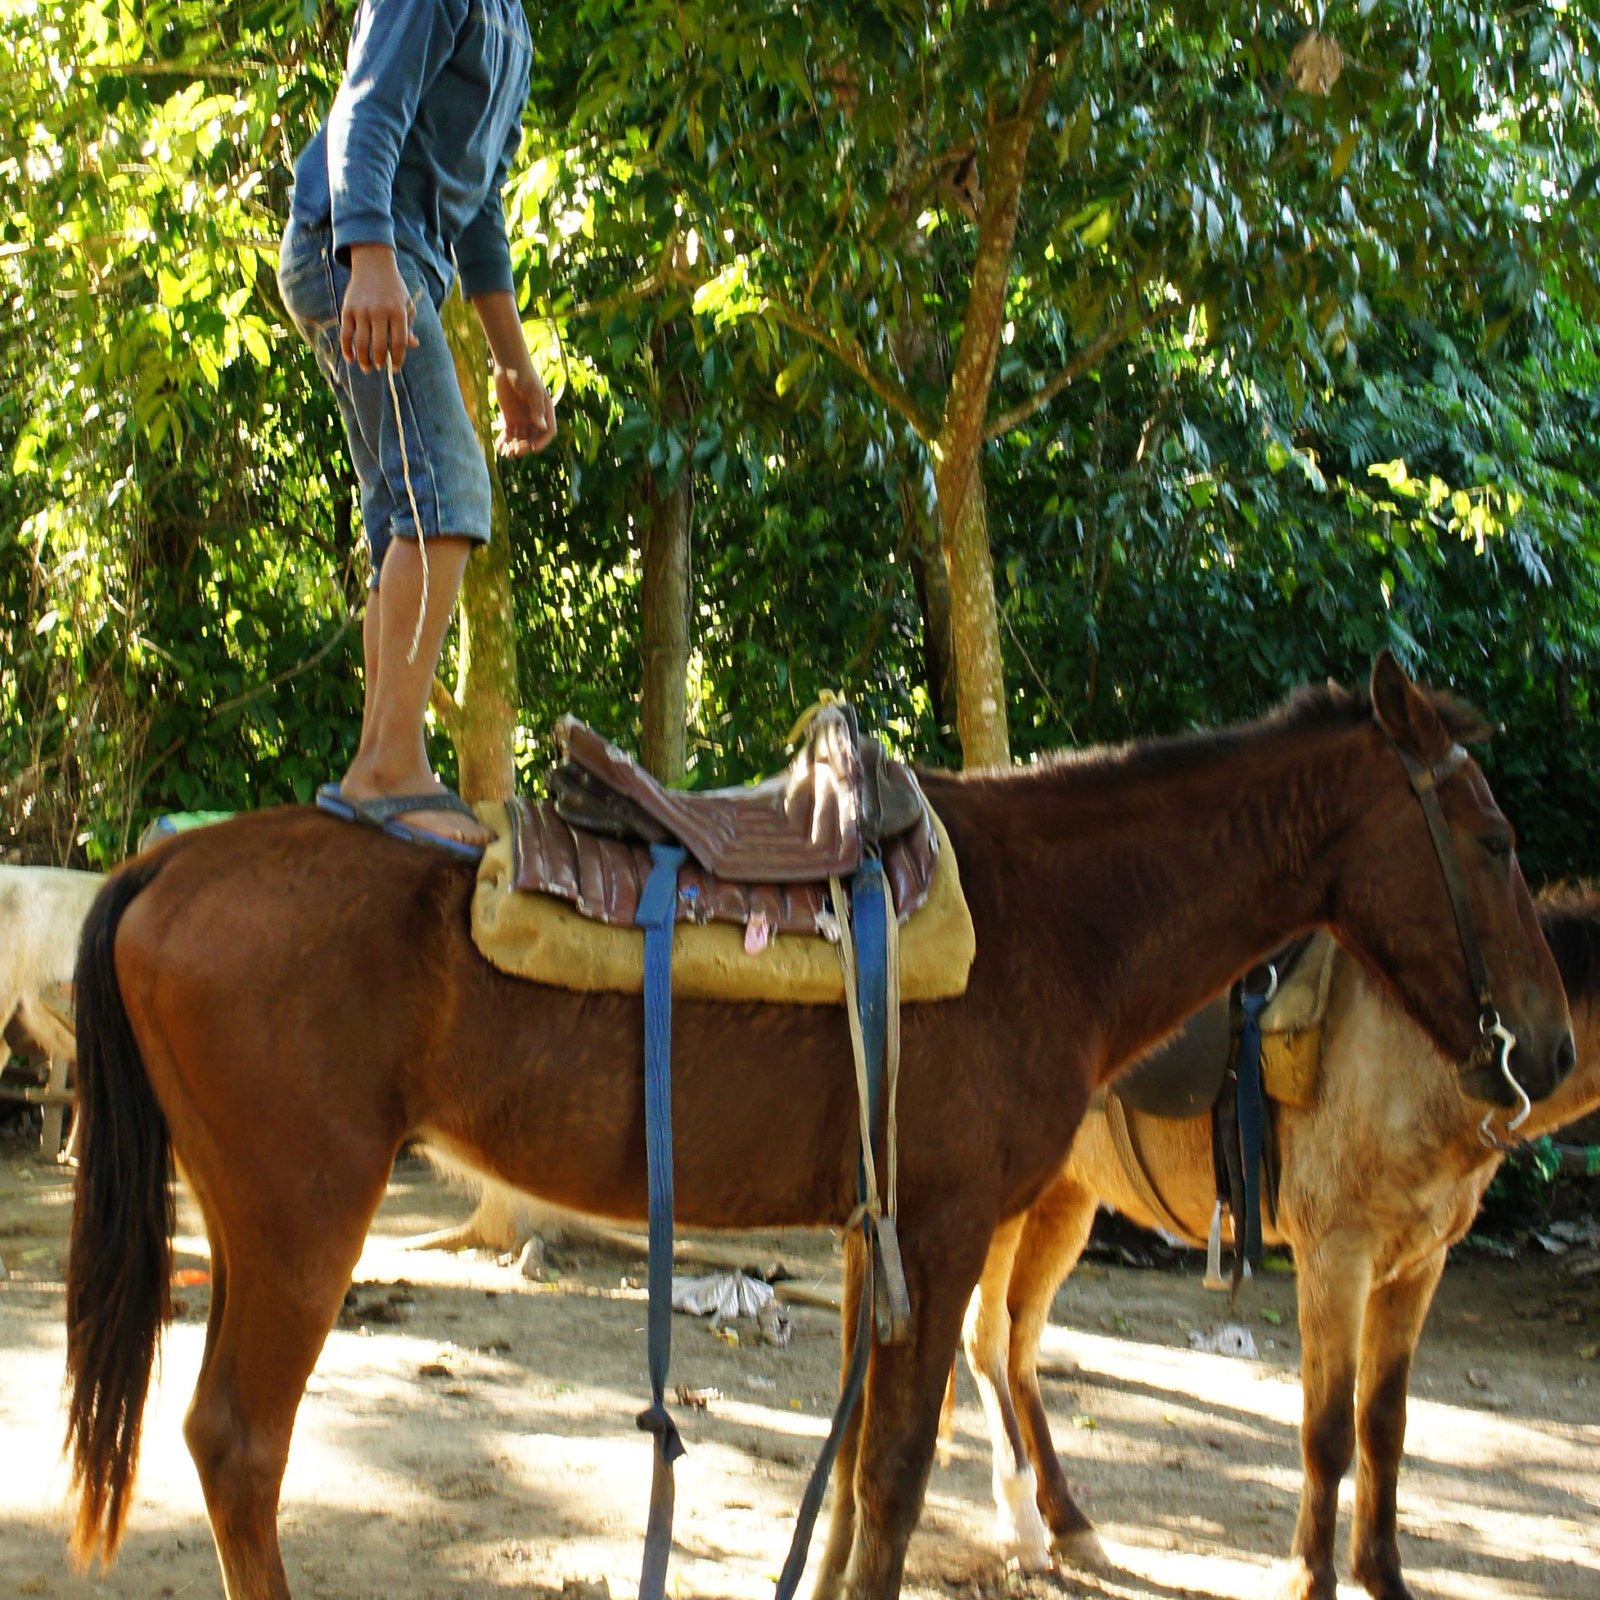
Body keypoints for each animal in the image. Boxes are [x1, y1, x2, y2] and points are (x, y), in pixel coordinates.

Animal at [954, 887, 1600, 1600]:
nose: (1552, 1056)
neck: (1416, 1054)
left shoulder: (1419, 1266)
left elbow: (1385, 1424)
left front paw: (1382, 1574)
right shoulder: (1334, 1257)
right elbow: (1327, 1432)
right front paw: (1309, 1575)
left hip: (1067, 1199)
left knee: (1020, 1342)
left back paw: (1068, 1522)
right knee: (985, 1339)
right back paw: (1022, 1527)